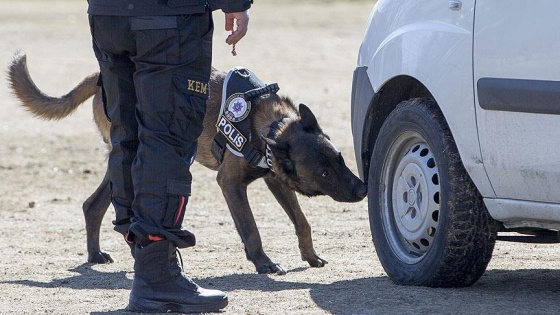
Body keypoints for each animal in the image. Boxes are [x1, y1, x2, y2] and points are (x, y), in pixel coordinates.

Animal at [8, 53, 368, 276]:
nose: (363, 188)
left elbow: (302, 222)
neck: (270, 124)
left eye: (340, 159)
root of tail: (101, 76)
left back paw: (96, 255)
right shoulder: (231, 184)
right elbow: (251, 229)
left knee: (92, 205)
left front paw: (310, 256)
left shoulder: (275, 180)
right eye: (323, 172)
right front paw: (263, 263)